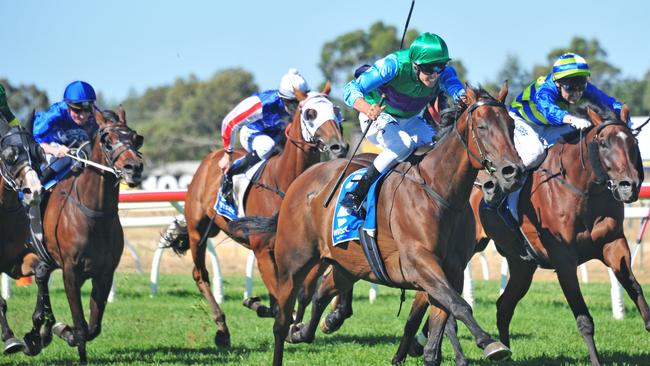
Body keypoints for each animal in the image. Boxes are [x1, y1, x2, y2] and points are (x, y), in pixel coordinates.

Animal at [18, 108, 143, 364]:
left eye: (136, 139)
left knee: (41, 278)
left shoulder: (104, 273)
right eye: (107, 140)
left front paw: (60, 330)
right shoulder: (71, 273)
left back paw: (40, 332)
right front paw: (68, 335)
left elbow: (93, 326)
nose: (134, 168)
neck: (95, 214)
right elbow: (80, 324)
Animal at [161, 83, 346, 348]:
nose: (338, 146)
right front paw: (273, 314)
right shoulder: (262, 249)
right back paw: (222, 329)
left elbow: (299, 290)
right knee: (200, 274)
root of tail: (208, 159)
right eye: (310, 113)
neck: (284, 180)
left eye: (335, 110)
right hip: (198, 231)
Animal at [251, 83, 524, 366]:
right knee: (281, 320)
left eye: (511, 126)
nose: (512, 172)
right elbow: (459, 306)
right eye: (481, 127)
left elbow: (439, 328)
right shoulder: (419, 264)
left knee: (320, 294)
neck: (440, 193)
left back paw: (306, 329)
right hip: (293, 264)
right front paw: (490, 343)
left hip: (348, 263)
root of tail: (300, 181)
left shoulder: (453, 271)